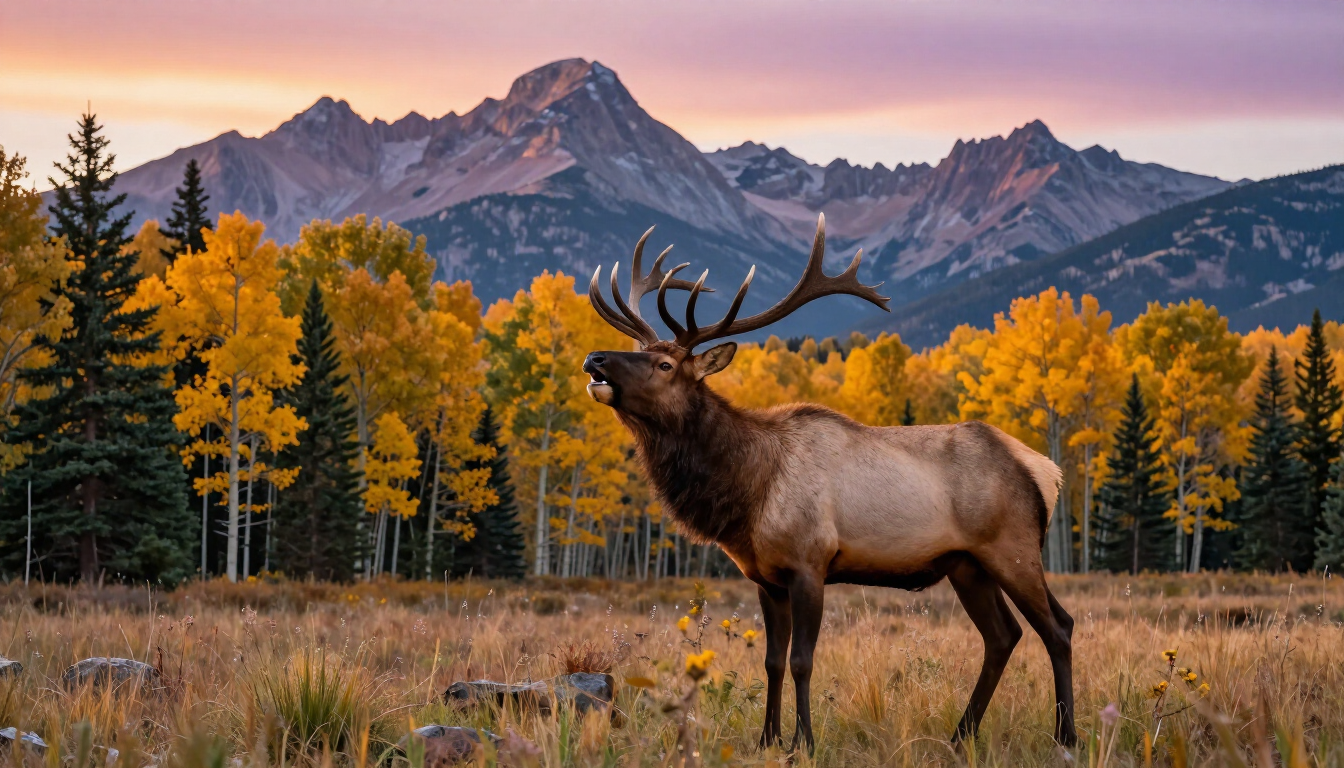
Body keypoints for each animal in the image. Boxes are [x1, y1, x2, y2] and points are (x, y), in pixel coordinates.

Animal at [581, 214, 1076, 752]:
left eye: (666, 364)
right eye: (640, 351)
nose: (595, 359)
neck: (748, 492)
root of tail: (1046, 471)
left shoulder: (809, 563)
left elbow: (802, 661)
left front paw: (804, 742)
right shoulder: (766, 578)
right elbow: (772, 662)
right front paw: (767, 739)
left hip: (1013, 548)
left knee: (1058, 626)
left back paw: (1065, 735)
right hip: (968, 565)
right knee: (1003, 635)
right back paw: (961, 734)